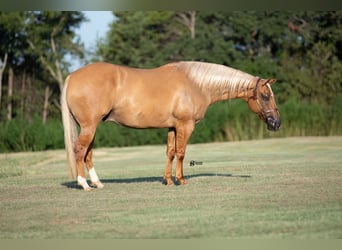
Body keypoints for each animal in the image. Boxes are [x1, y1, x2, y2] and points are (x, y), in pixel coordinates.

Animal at [61, 61, 280, 190]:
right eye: (265, 95)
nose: (276, 123)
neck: (196, 84)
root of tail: (72, 76)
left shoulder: (172, 127)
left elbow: (170, 152)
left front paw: (167, 180)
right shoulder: (185, 125)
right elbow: (181, 153)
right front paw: (180, 180)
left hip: (90, 127)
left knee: (88, 153)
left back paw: (97, 183)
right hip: (89, 126)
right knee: (80, 151)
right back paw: (84, 184)